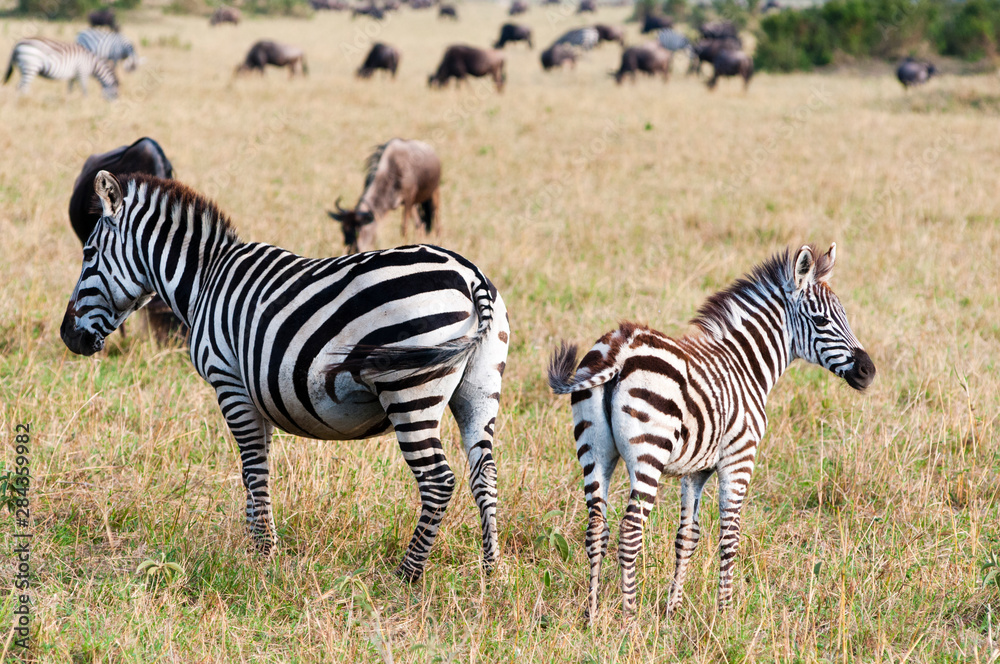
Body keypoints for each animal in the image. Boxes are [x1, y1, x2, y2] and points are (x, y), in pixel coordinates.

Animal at [61, 171, 510, 581]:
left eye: (88, 253)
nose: (68, 336)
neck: (205, 280)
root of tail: (470, 276)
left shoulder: (229, 382)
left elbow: (253, 467)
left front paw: (262, 554)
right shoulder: (255, 391)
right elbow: (255, 467)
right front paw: (255, 543)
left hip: (408, 392)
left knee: (438, 480)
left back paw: (406, 575)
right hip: (480, 389)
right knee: (484, 475)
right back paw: (492, 573)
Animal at [548, 244, 875, 623]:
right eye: (822, 322)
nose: (869, 371)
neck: (746, 367)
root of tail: (621, 347)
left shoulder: (696, 470)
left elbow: (687, 536)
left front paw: (672, 610)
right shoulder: (740, 458)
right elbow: (729, 537)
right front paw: (726, 613)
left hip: (594, 450)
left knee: (596, 528)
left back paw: (592, 614)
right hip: (649, 452)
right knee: (629, 531)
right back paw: (630, 617)